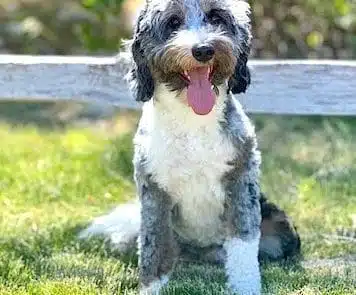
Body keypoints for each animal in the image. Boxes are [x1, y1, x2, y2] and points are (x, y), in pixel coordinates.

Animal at [80, 1, 300, 294]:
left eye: (216, 17)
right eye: (173, 22)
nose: (203, 50)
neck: (192, 120)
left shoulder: (241, 180)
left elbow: (242, 245)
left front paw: (245, 287)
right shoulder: (154, 192)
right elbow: (154, 246)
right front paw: (152, 287)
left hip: (278, 227)